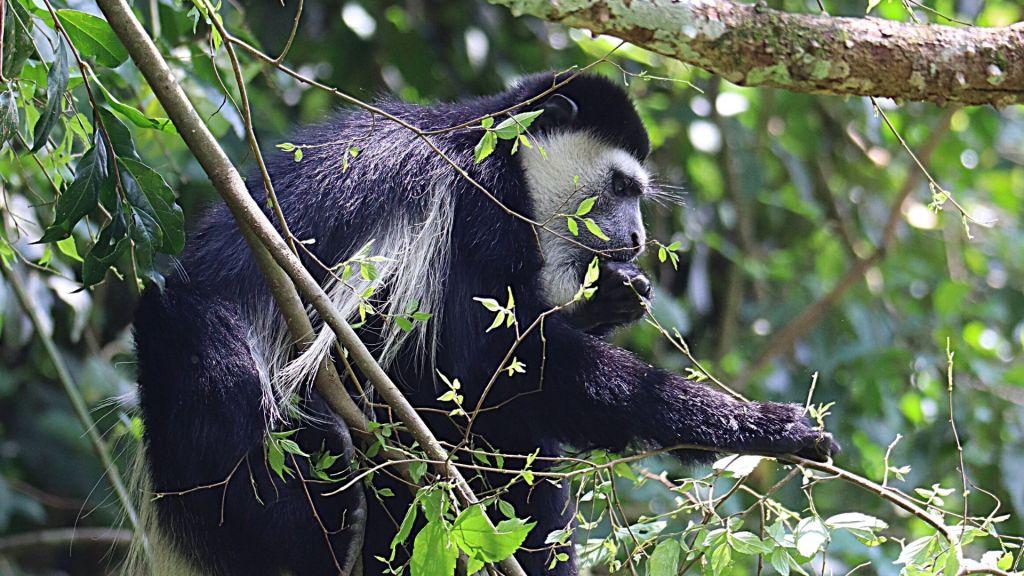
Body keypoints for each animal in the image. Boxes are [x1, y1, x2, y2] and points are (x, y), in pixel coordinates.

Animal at [134, 71, 839, 573]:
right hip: (237, 425)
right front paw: (760, 425)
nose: (638, 242)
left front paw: (613, 299)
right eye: (619, 187)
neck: (493, 152)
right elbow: (467, 371)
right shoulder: (470, 209)